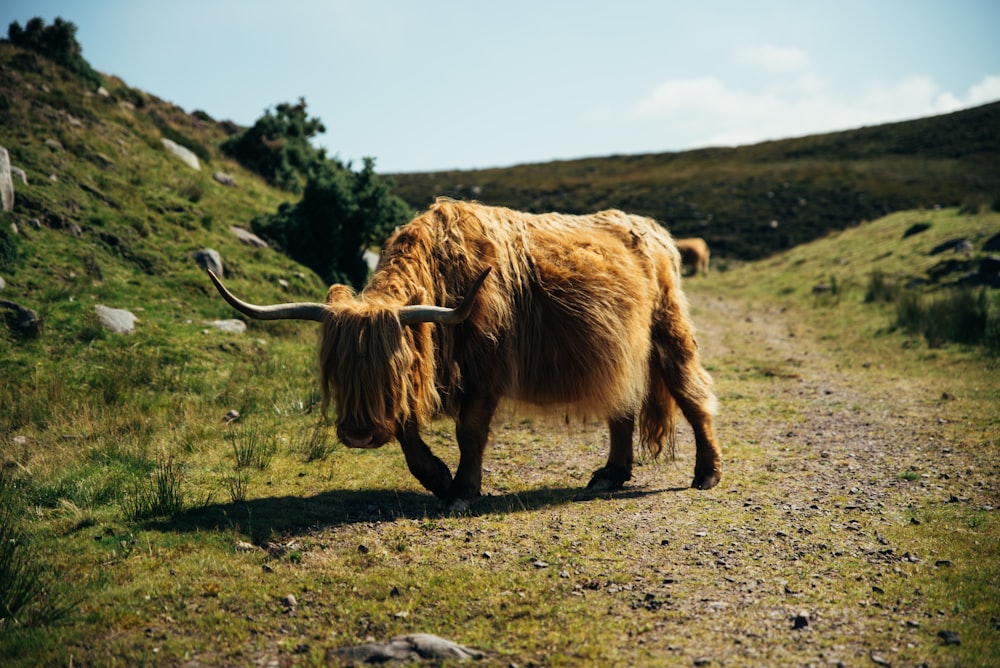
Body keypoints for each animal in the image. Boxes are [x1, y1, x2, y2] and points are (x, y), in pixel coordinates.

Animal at [211, 198, 724, 506]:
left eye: (391, 367)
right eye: (335, 367)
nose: (358, 434)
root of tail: (649, 226)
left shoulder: (487, 367)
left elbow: (469, 431)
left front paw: (463, 490)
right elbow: (407, 429)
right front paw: (438, 479)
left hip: (668, 330)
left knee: (692, 394)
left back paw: (707, 473)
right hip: (621, 352)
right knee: (622, 404)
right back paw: (611, 474)